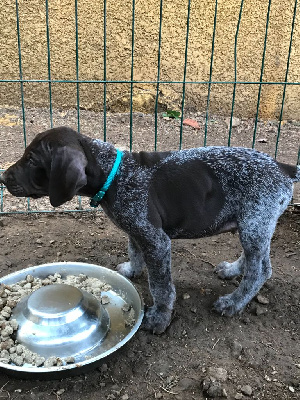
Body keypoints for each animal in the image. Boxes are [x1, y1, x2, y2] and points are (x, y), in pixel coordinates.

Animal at [1, 126, 298, 332]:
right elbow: (134, 251)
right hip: (255, 223)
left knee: (259, 271)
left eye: (32, 160)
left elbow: (161, 286)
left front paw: (159, 318)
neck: (115, 175)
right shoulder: (136, 230)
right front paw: (132, 270)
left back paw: (234, 302)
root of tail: (283, 167)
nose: (3, 177)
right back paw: (233, 270)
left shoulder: (156, 240)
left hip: (254, 224)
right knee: (258, 261)